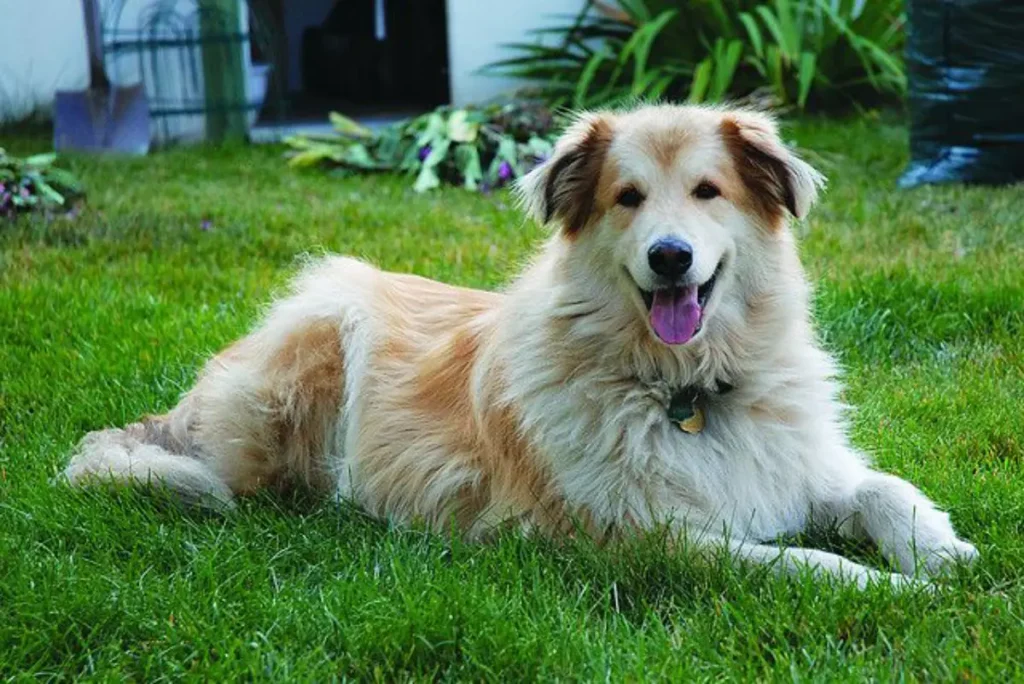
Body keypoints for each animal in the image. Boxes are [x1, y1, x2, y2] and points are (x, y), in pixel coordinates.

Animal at [64, 105, 974, 589]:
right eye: (627, 197)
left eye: (708, 191)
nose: (670, 257)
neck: (683, 390)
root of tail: (189, 402)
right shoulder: (644, 538)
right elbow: (803, 565)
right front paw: (893, 589)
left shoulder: (799, 468)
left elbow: (883, 489)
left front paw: (942, 552)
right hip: (324, 327)